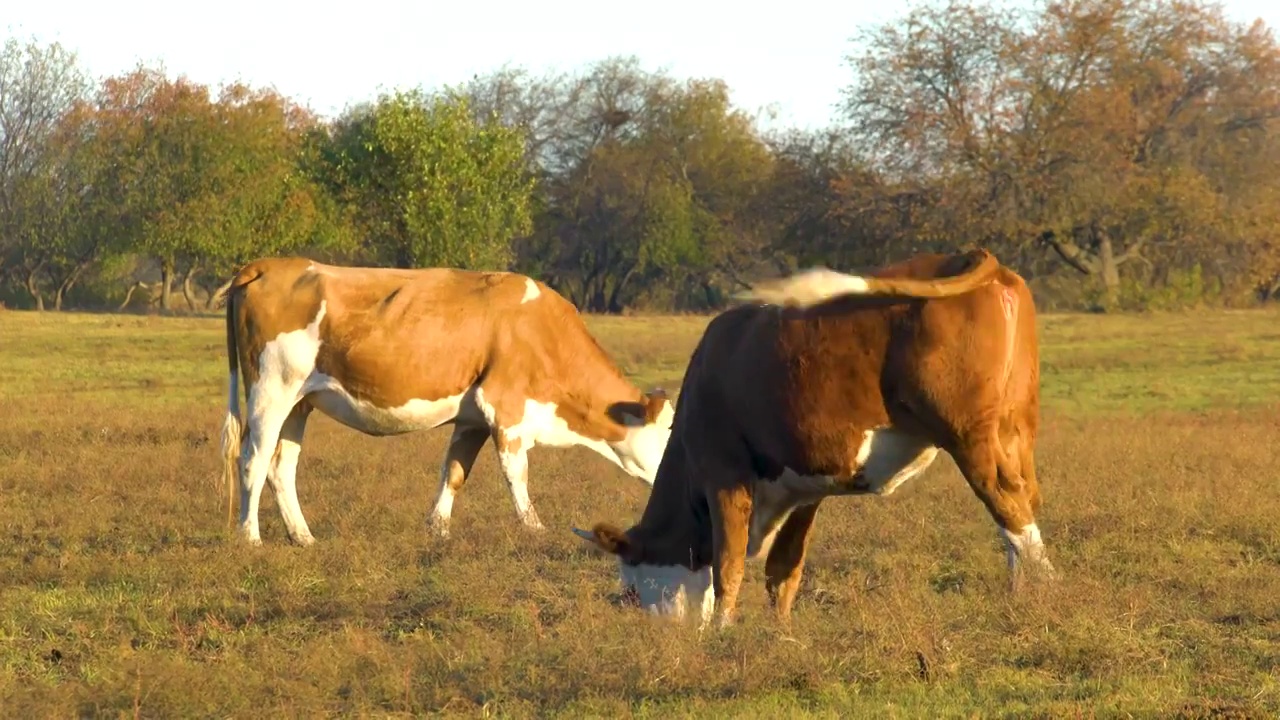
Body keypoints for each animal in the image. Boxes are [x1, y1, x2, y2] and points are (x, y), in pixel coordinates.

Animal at [217, 257, 680, 543]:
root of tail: (268, 265)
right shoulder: (505, 410)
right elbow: (517, 475)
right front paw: (535, 530)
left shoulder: (473, 418)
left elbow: (454, 472)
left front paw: (437, 529)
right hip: (271, 391)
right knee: (253, 459)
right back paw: (250, 537)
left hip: (300, 402)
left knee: (281, 466)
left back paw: (303, 536)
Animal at [576, 245, 1054, 627]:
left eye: (631, 590)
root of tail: (975, 256)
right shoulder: (802, 486)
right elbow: (783, 570)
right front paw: (780, 633)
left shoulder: (724, 474)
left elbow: (728, 564)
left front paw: (722, 633)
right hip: (1015, 430)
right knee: (1023, 504)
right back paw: (1019, 593)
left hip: (968, 438)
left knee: (1008, 507)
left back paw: (1047, 593)